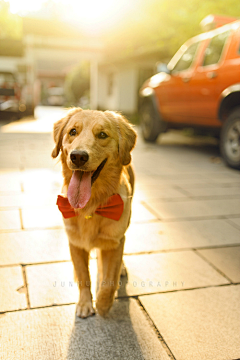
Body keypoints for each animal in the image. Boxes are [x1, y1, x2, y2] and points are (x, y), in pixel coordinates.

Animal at [51, 107, 136, 318]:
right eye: (73, 131)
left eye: (102, 135)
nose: (78, 156)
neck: (92, 205)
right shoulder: (75, 242)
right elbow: (83, 276)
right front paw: (85, 303)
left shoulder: (115, 242)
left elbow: (109, 279)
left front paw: (104, 304)